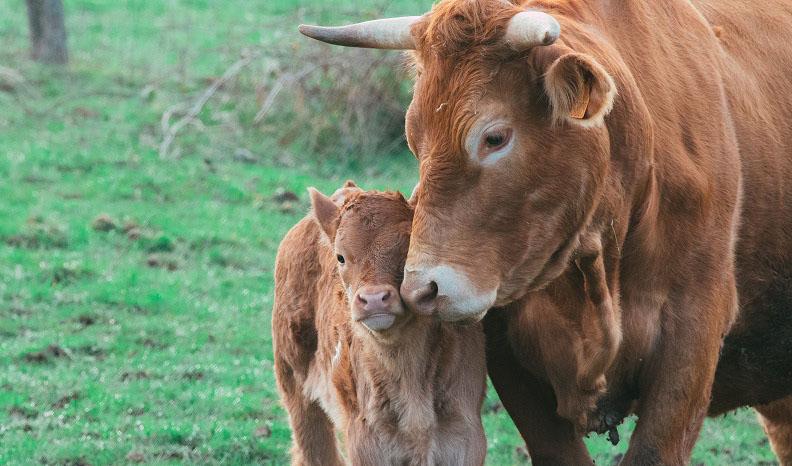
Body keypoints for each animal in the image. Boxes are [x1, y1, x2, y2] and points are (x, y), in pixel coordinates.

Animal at [271, 182, 487, 465]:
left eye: (407, 251)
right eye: (340, 257)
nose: (374, 299)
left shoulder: (465, 437)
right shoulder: (367, 442)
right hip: (296, 390)